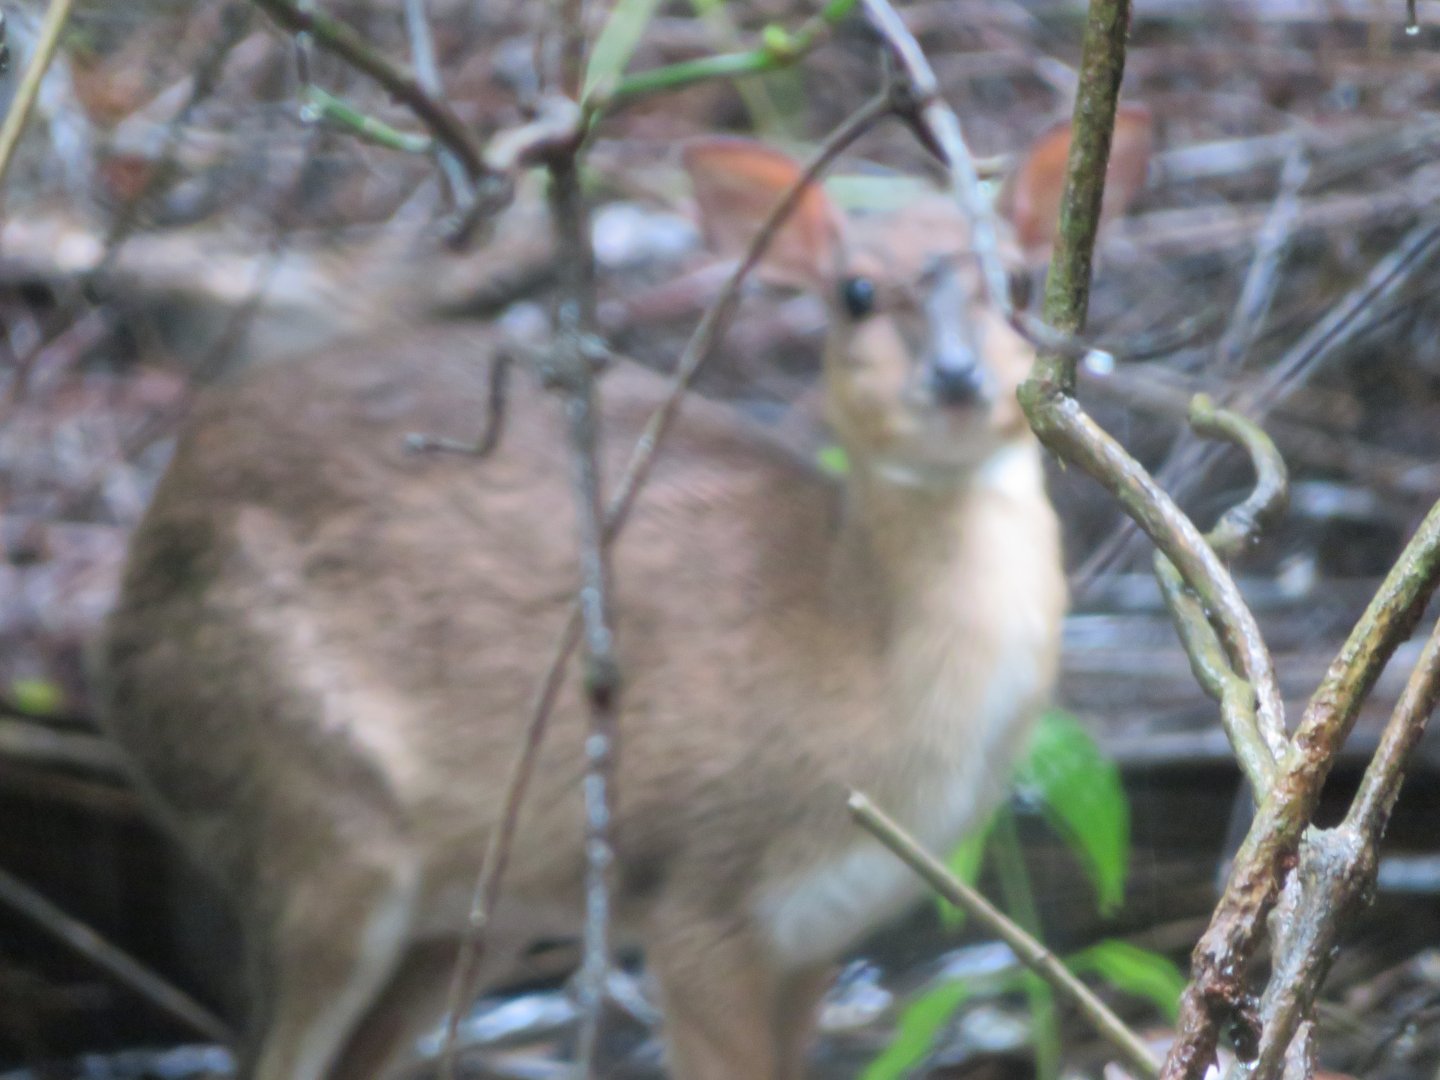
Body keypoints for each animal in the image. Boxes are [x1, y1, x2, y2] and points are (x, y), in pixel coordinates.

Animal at [96, 115, 1150, 1079]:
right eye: (854, 293)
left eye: (1017, 284)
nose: (956, 375)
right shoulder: (697, 893)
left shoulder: (819, 930)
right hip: (309, 812)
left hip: (468, 904)